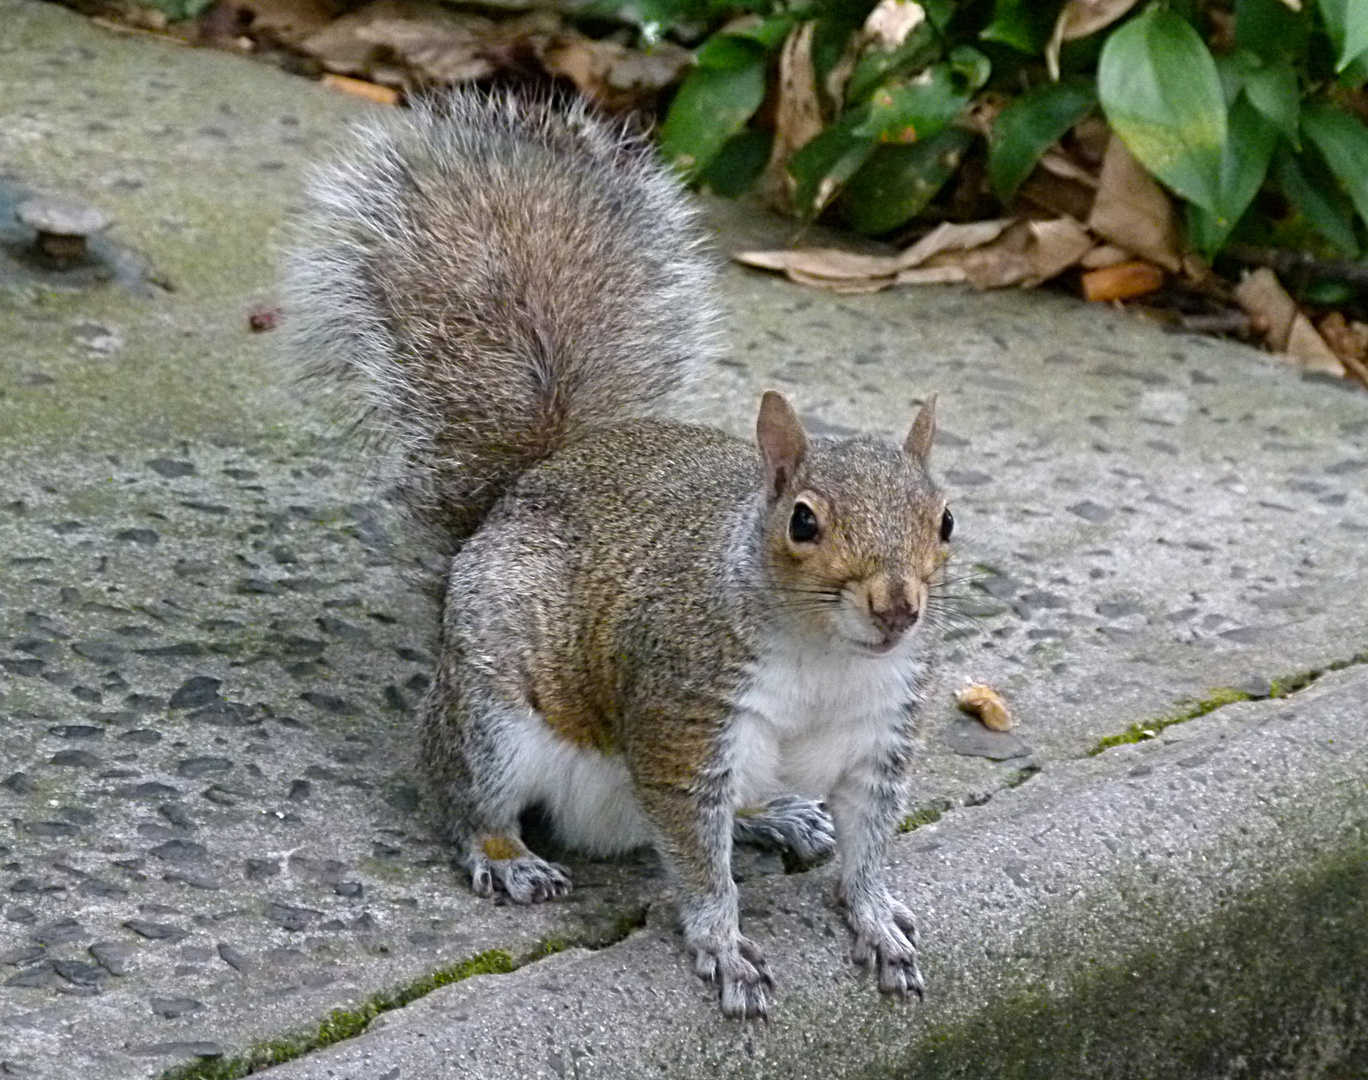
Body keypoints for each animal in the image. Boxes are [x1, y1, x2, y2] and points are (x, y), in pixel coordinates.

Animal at [284, 88, 957, 1012]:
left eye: (946, 520)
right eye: (803, 523)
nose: (898, 607)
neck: (826, 659)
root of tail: (506, 506)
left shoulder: (880, 738)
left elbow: (867, 848)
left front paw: (878, 921)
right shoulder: (685, 722)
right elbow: (701, 866)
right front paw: (723, 947)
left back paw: (777, 815)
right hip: (494, 720)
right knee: (463, 798)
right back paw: (507, 857)